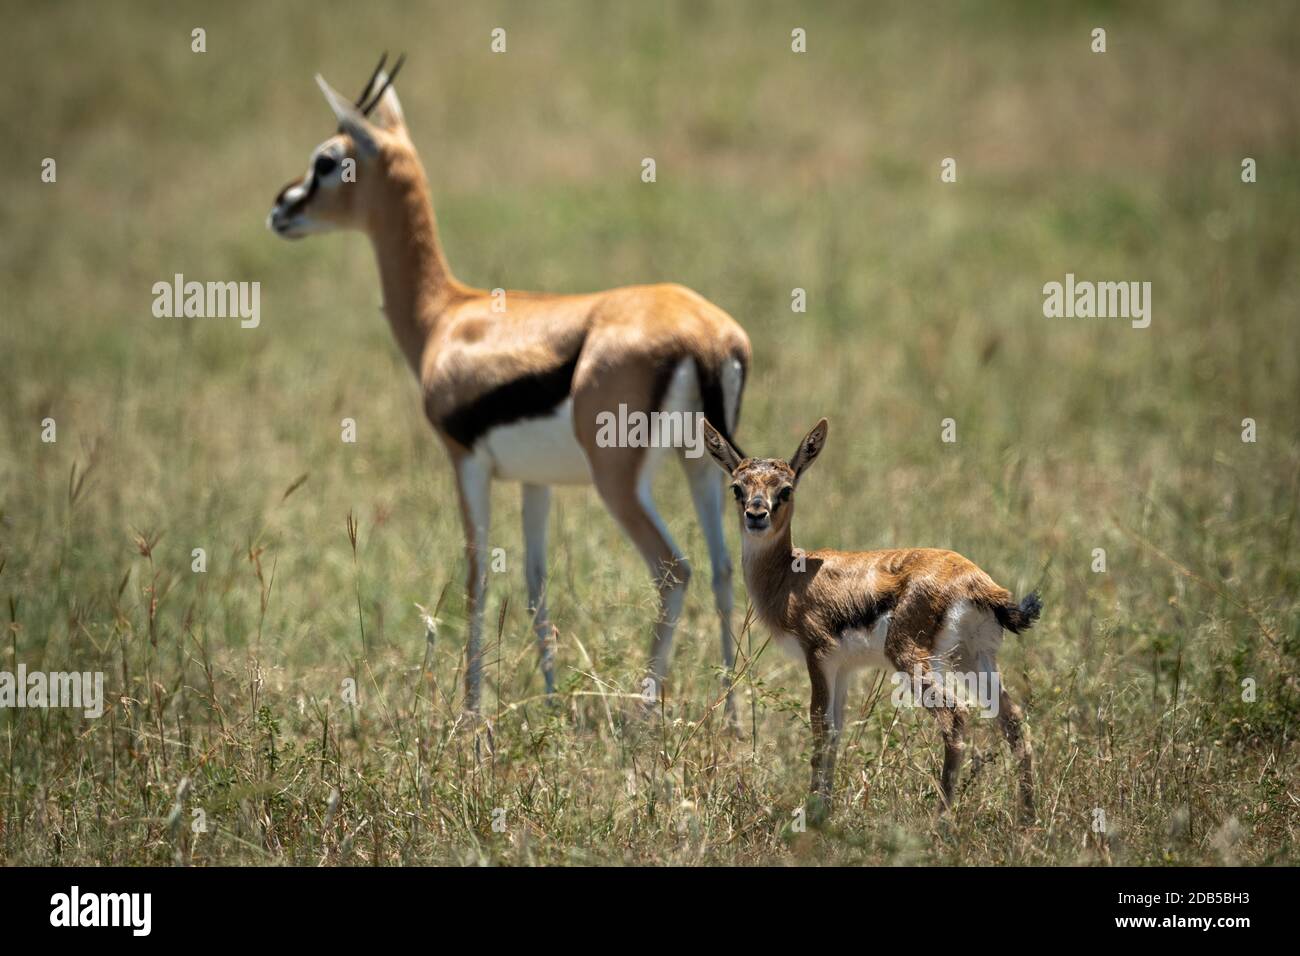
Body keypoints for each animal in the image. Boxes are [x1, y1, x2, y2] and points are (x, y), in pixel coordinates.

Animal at [267, 56, 751, 714]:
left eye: (326, 160)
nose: (280, 208)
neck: (447, 315)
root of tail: (704, 332)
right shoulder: (534, 482)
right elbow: (535, 585)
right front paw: (547, 702)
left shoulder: (465, 460)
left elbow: (476, 579)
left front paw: (473, 712)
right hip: (700, 462)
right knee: (725, 569)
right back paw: (729, 715)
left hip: (620, 481)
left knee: (675, 570)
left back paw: (639, 717)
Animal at [700, 418, 1039, 818]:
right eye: (737, 487)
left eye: (785, 489)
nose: (756, 516)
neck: (789, 575)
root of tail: (975, 580)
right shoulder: (843, 668)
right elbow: (835, 731)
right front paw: (824, 808)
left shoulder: (818, 657)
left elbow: (820, 728)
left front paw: (813, 813)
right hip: (972, 659)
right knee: (1014, 721)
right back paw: (1027, 817)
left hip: (913, 659)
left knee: (956, 718)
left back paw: (941, 820)